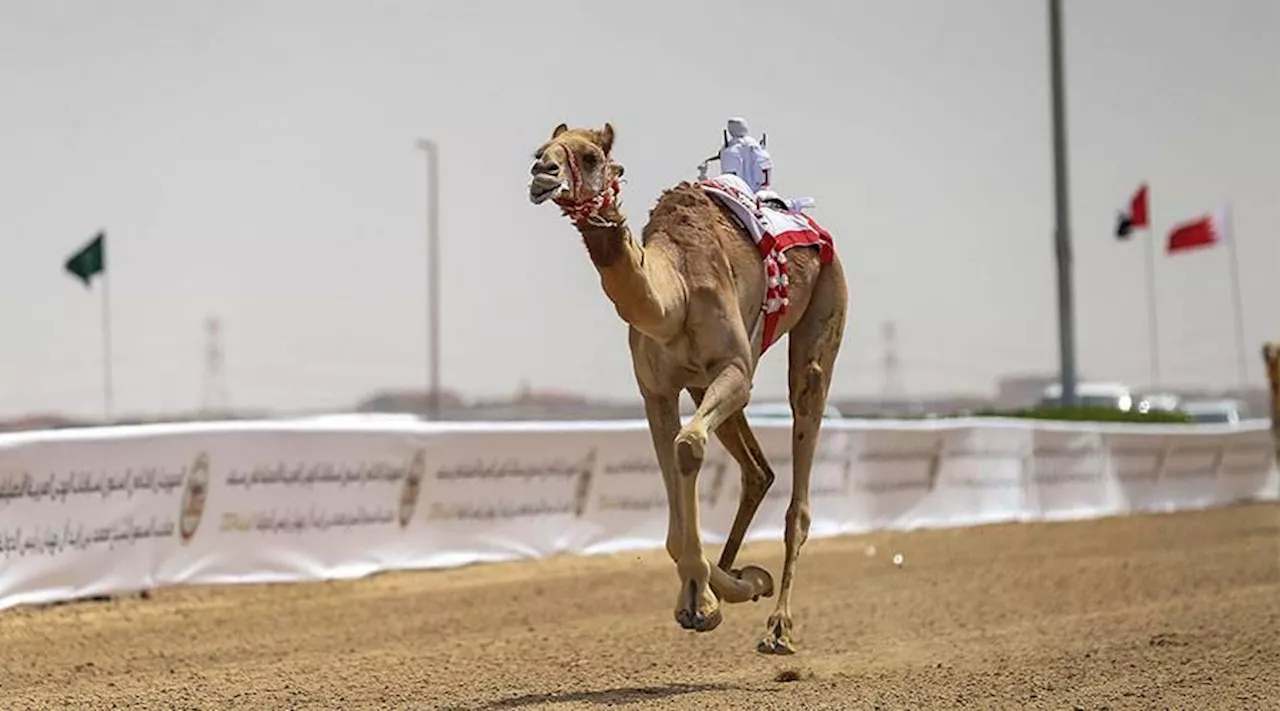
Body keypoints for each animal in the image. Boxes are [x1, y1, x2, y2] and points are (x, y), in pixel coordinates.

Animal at [524, 122, 844, 655]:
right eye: (540, 150)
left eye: (590, 156)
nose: (542, 174)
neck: (674, 294)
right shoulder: (657, 390)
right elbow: (675, 499)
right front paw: (714, 594)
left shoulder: (736, 369)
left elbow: (689, 446)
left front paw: (710, 598)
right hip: (701, 387)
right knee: (758, 471)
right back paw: (744, 578)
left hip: (824, 308)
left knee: (802, 436)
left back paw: (779, 628)